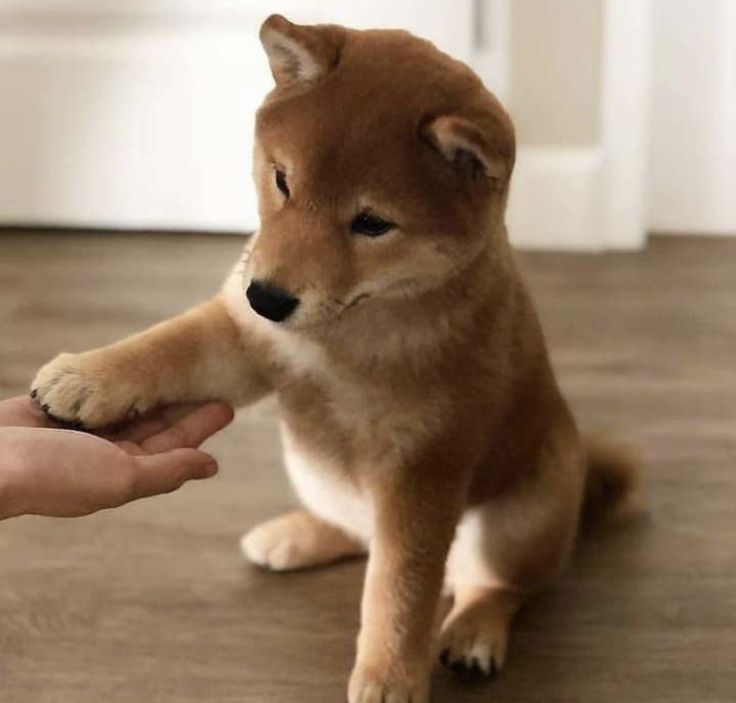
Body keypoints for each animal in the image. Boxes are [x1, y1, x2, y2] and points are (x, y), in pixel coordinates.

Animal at [31, 15, 636, 703]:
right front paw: (85, 376)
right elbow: (166, 345)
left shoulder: (422, 468)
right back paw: (294, 536)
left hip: (527, 510)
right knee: (355, 532)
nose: (266, 297)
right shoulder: (248, 341)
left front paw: (389, 676)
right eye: (282, 181)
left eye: (371, 223)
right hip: (313, 470)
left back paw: (475, 630)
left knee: (501, 585)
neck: (350, 335)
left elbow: (400, 590)